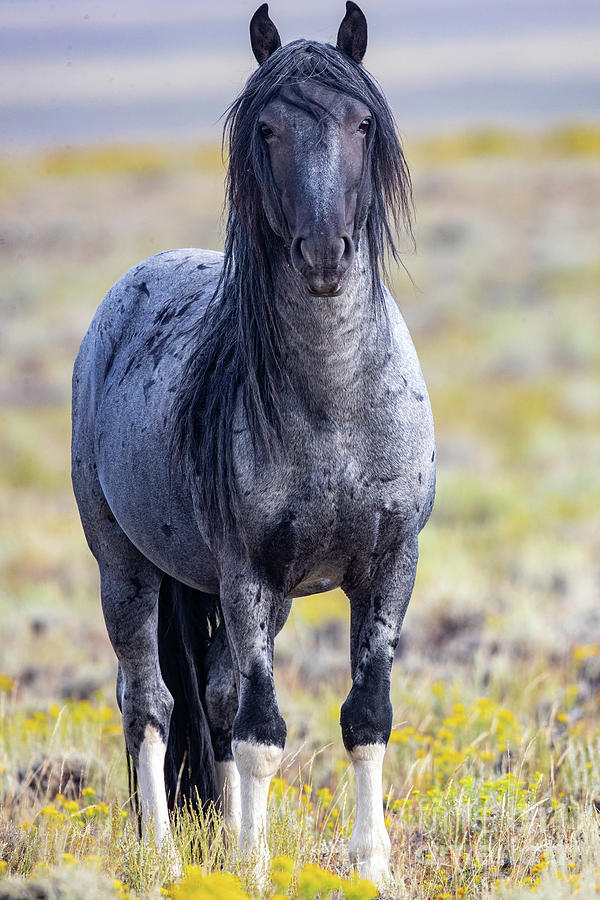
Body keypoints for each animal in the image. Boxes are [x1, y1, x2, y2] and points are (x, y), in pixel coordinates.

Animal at [71, 0, 436, 884]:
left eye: (362, 122)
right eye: (268, 128)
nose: (324, 253)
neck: (335, 409)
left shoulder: (391, 565)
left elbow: (365, 716)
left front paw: (369, 869)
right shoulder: (248, 577)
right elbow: (264, 735)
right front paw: (257, 872)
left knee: (215, 700)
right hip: (125, 569)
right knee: (151, 701)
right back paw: (166, 861)